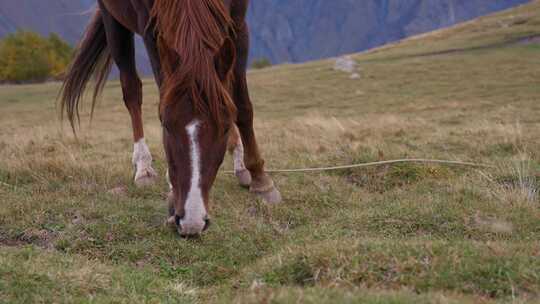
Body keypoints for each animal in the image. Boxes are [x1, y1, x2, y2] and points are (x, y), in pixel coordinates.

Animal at [60, 0, 282, 236]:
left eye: (223, 128)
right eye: (165, 125)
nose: (192, 221)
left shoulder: (238, 24)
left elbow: (241, 105)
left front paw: (261, 179)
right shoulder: (150, 28)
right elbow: (160, 87)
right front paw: (171, 192)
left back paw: (240, 164)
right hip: (112, 17)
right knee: (131, 89)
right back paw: (143, 167)